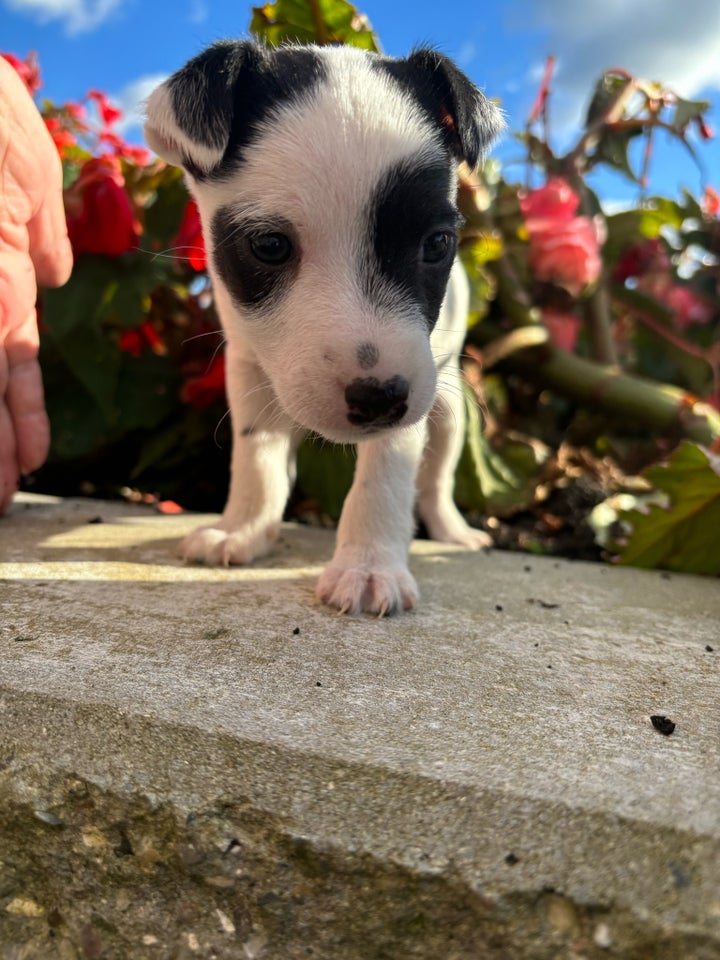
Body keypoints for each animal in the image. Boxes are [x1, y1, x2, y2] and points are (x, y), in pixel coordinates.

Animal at [144, 39, 504, 616]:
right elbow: (257, 456)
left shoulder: (411, 390)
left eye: (437, 244)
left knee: (438, 476)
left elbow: (386, 474)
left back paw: (452, 530)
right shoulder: (248, 368)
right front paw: (243, 529)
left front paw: (369, 566)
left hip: (448, 403)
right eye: (269, 245)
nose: (379, 399)